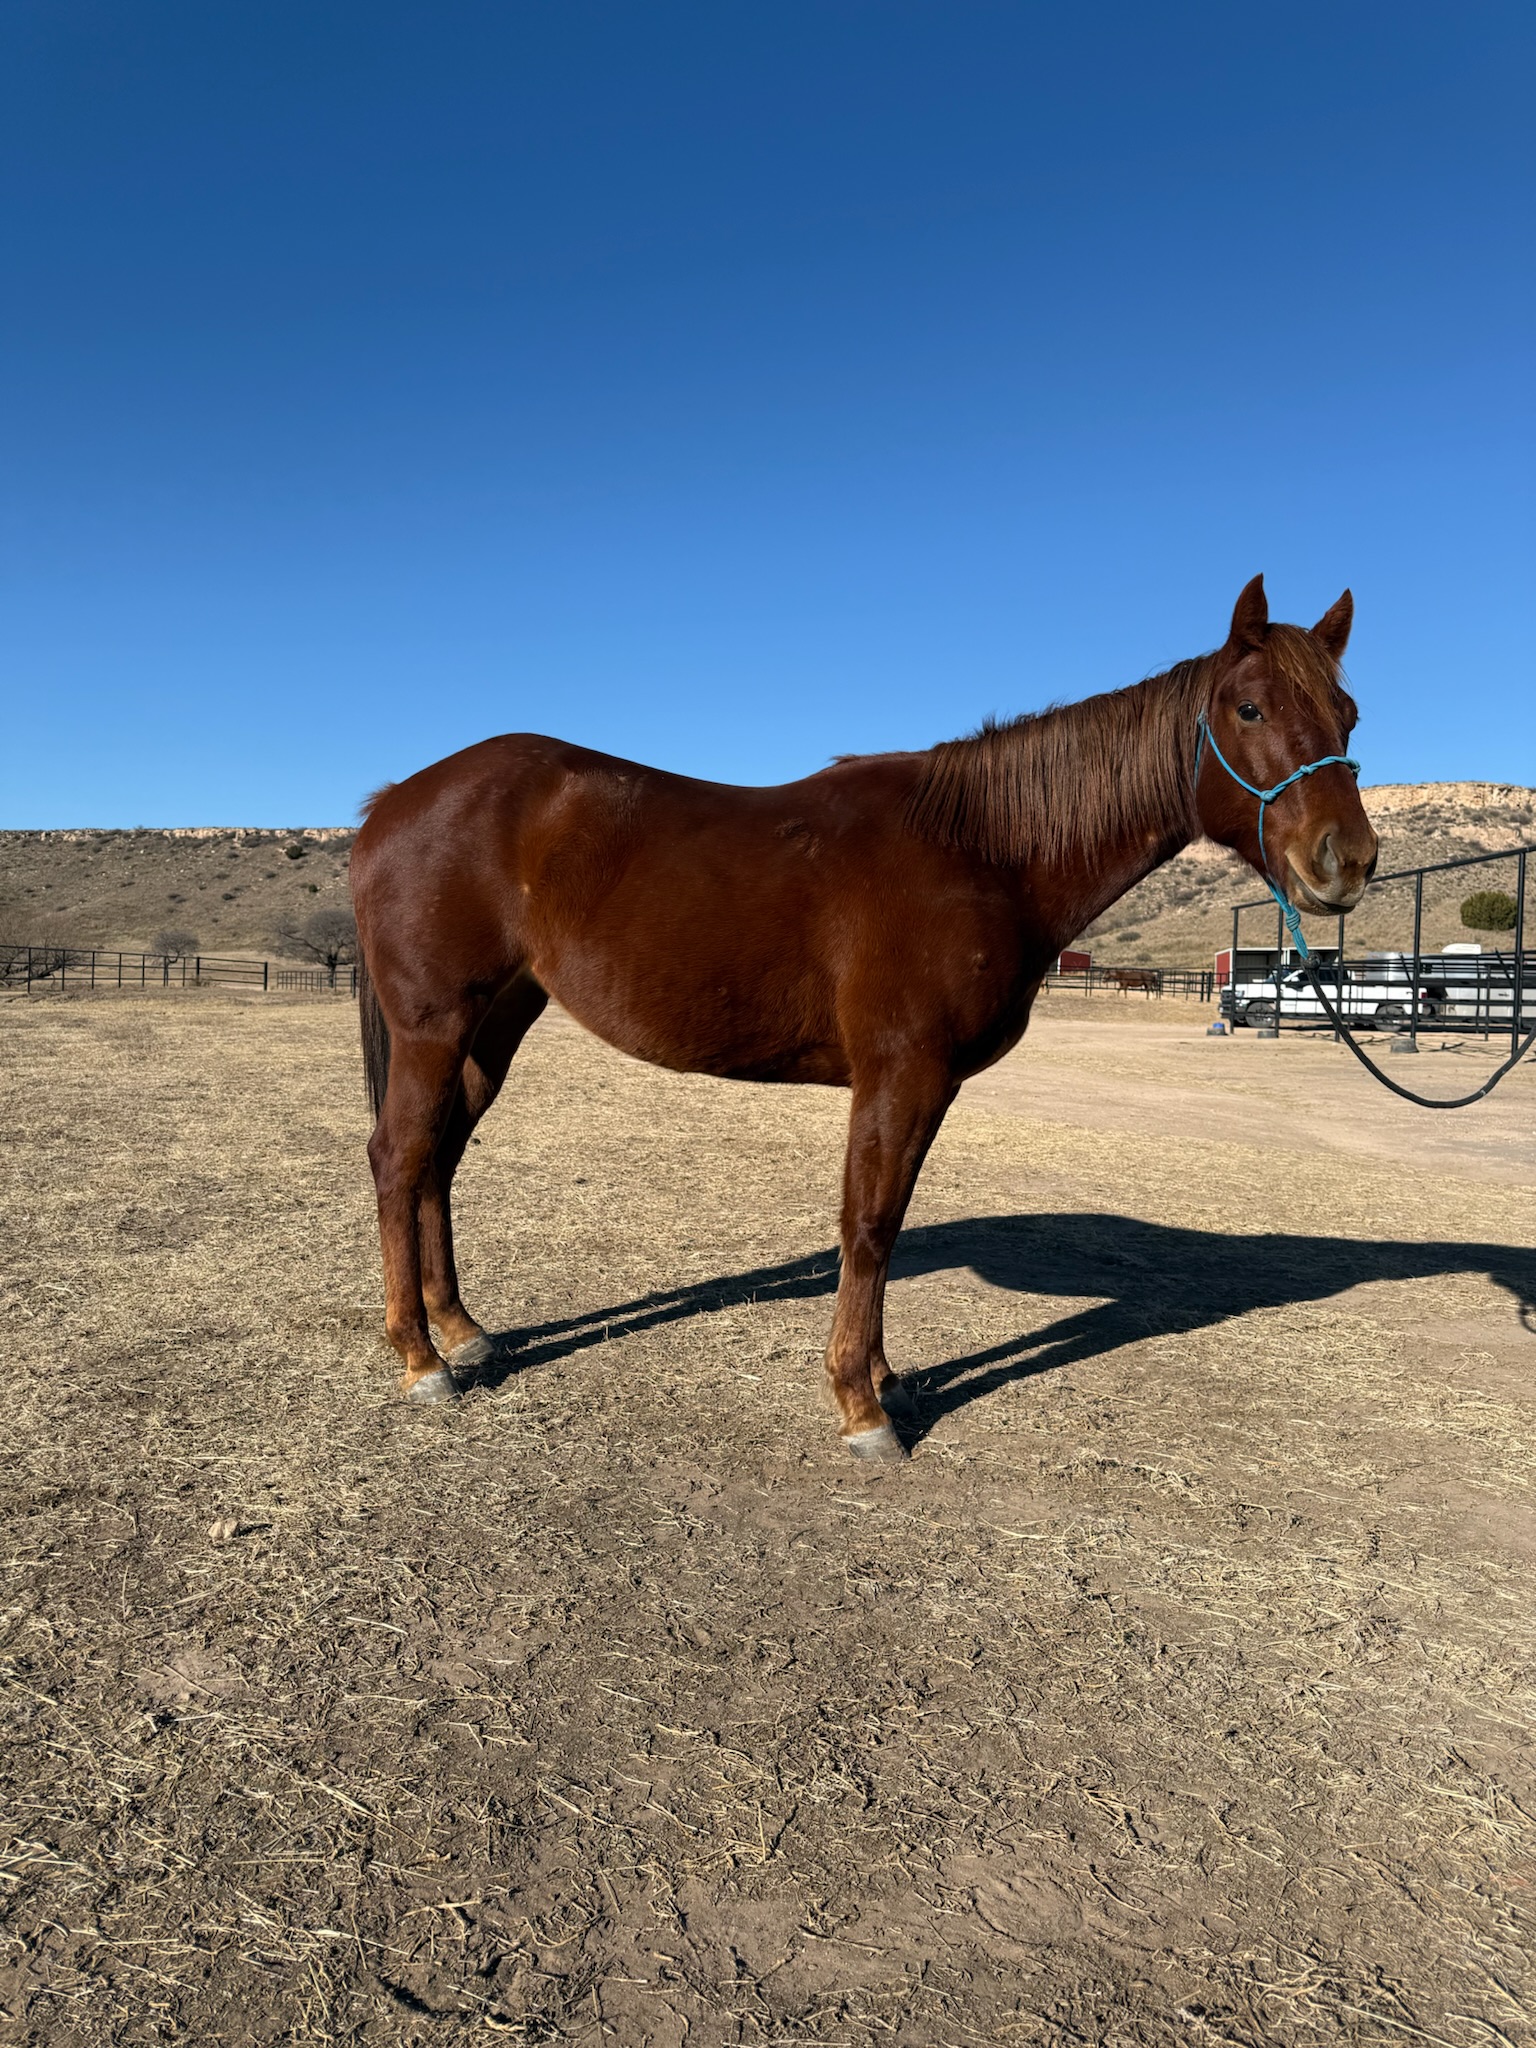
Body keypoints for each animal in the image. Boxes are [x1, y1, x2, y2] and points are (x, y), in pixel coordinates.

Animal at [350, 575, 1377, 1460]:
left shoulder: (929, 1084)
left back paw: (463, 1331)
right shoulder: (900, 1069)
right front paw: (859, 1406)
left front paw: (886, 1379)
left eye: (1349, 714)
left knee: (437, 1160)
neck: (982, 850)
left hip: (492, 1028)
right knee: (399, 1158)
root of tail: (392, 802)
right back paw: (422, 1359)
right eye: (1249, 711)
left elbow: (889, 1220)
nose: (1349, 861)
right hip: (436, 1027)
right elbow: (870, 1223)